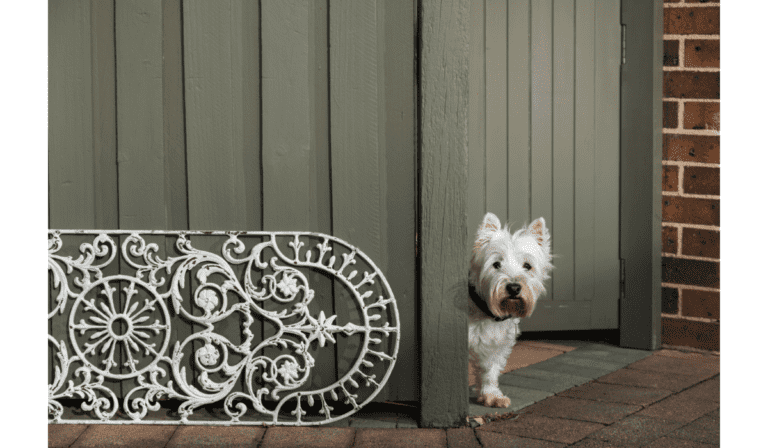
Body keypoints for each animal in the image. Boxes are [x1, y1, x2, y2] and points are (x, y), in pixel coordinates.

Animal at [468, 212, 552, 408]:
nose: (514, 288)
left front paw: (491, 395)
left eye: (527, 266)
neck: (486, 312)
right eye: (496, 264)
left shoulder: (494, 344)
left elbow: (489, 370)